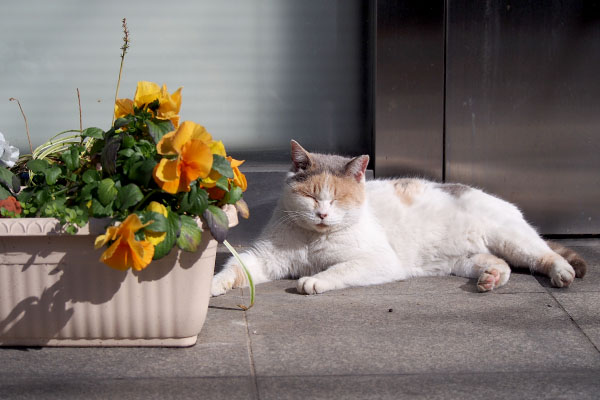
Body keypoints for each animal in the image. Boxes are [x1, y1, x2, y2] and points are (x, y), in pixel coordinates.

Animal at [212, 140, 584, 294]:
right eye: (312, 196)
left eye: (339, 199)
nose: (322, 213)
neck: (312, 240)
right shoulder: (265, 258)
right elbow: (235, 268)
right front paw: (215, 285)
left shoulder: (378, 260)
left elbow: (338, 270)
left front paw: (314, 281)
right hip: (464, 261)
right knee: (499, 263)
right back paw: (490, 279)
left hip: (512, 239)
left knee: (544, 254)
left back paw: (562, 274)